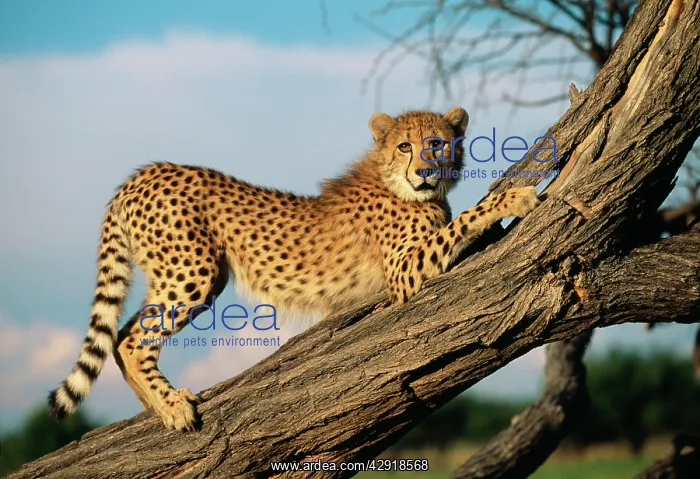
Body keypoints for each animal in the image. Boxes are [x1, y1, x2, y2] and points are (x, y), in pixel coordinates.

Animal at [48, 107, 541, 432]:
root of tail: (143, 173)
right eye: (405, 146)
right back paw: (171, 406)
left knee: (121, 334)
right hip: (193, 272)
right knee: (131, 339)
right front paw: (513, 197)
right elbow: (465, 220)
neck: (396, 184)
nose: (424, 170)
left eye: (436, 144)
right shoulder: (403, 272)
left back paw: (155, 405)